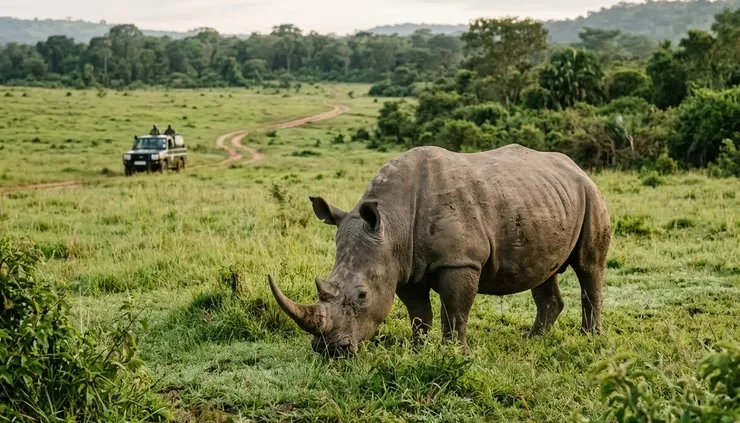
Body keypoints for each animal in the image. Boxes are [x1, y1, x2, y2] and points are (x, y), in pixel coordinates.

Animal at [268, 144, 611, 356]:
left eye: (362, 295)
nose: (329, 351)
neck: (392, 222)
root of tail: (576, 166)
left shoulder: (459, 261)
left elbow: (456, 310)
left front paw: (455, 354)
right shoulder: (402, 266)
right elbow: (420, 314)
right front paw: (417, 351)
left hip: (590, 194)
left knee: (589, 266)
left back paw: (590, 339)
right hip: (540, 199)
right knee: (543, 270)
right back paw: (533, 339)